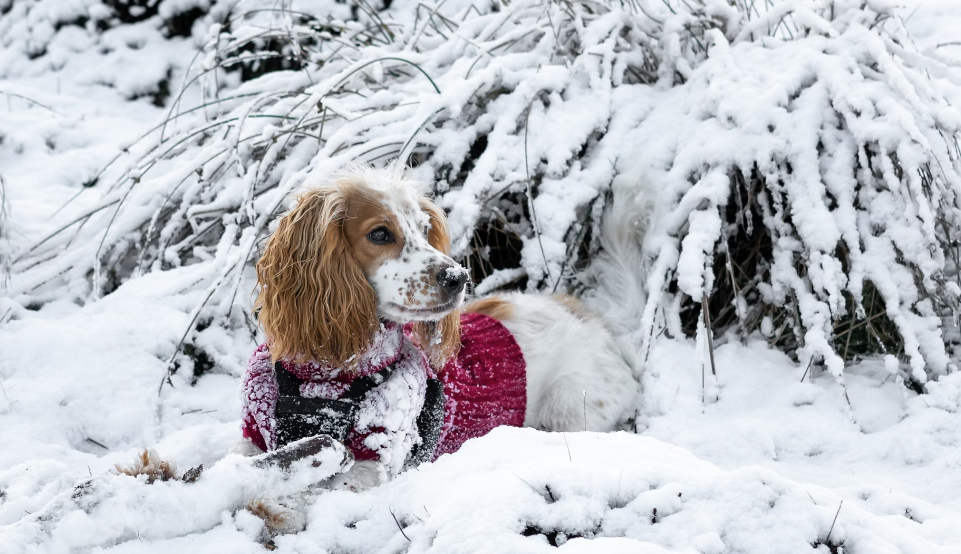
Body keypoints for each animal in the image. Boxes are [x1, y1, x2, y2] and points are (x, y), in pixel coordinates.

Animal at [235, 164, 636, 488]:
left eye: (425, 230)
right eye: (379, 234)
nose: (458, 277)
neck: (327, 375)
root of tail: (590, 316)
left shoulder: (374, 460)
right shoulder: (252, 436)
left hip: (571, 411)